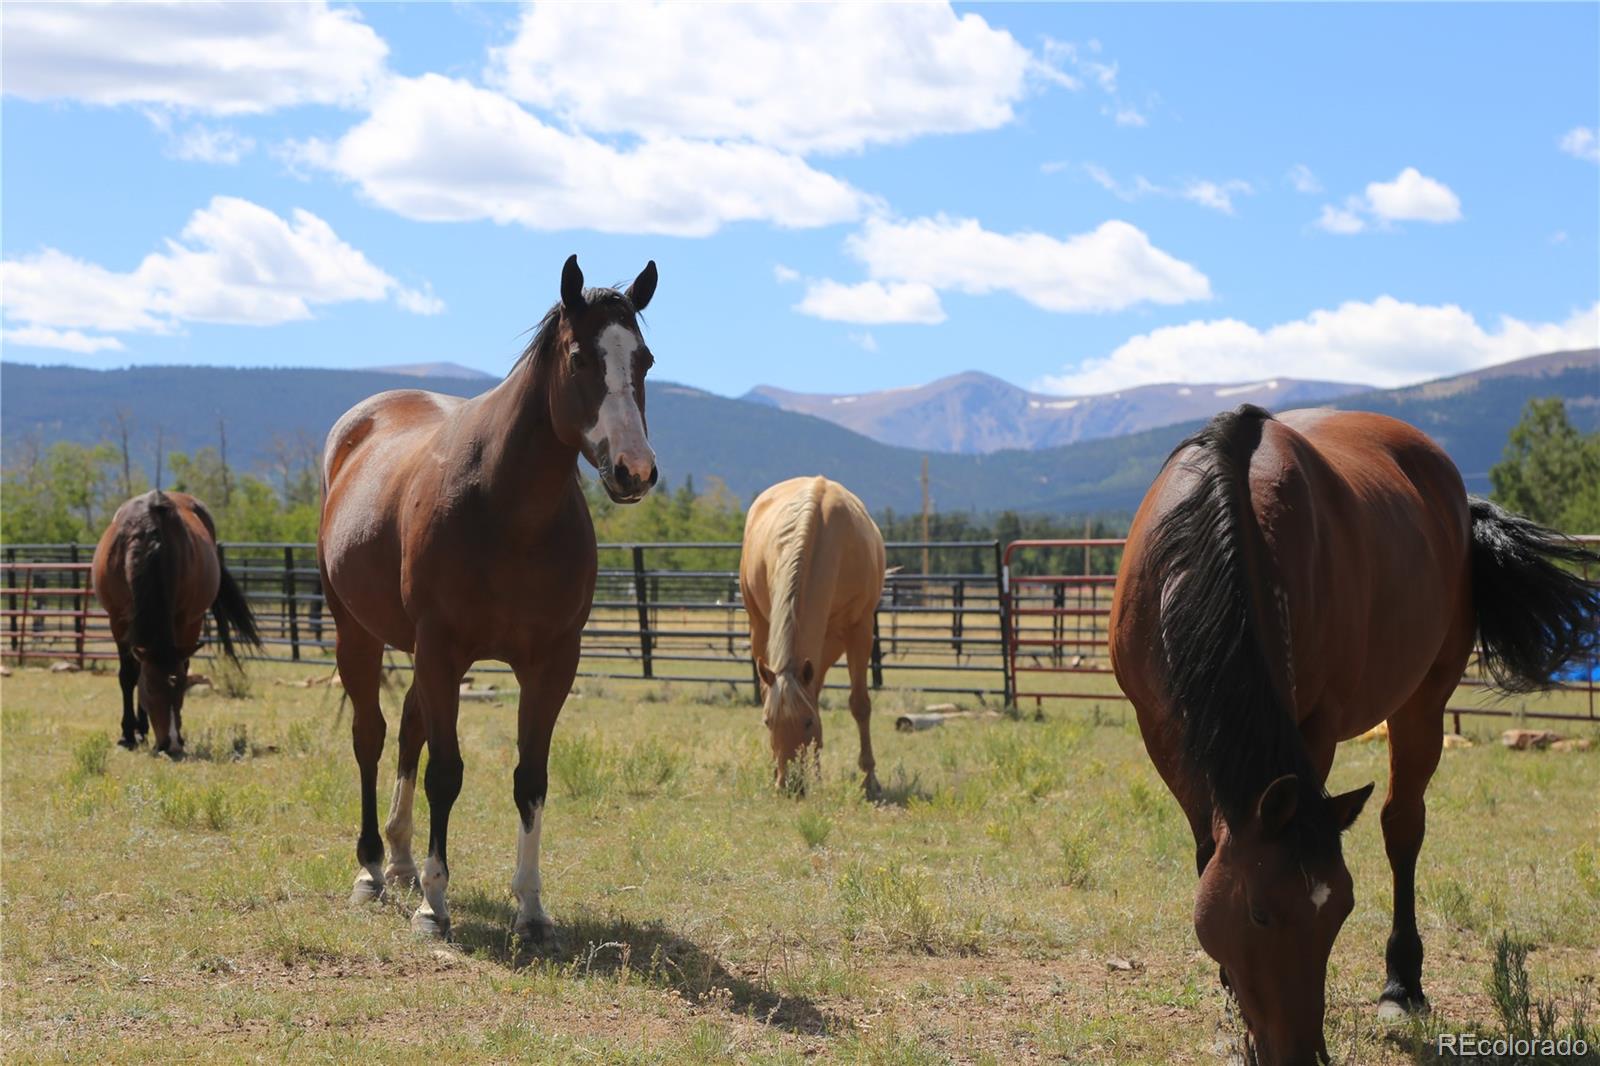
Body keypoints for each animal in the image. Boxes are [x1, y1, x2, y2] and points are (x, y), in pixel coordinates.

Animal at [90, 489, 260, 755]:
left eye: (182, 688)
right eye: (150, 687)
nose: (170, 743)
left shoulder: (183, 620)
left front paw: (143, 730)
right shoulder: (117, 621)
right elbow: (128, 676)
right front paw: (127, 734)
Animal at [321, 257, 659, 941]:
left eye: (645, 360)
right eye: (580, 358)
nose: (634, 471)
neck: (508, 512)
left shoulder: (551, 663)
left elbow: (530, 779)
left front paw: (530, 907)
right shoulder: (442, 650)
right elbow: (446, 773)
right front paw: (435, 905)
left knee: (408, 733)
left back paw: (400, 858)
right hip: (358, 634)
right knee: (371, 737)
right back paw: (371, 868)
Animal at [739, 473, 889, 787]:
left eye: (806, 722)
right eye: (768, 722)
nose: (790, 785)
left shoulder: (860, 630)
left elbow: (859, 704)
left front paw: (869, 779)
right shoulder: (764, 628)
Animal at [1113, 403, 1600, 1056]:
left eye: (1341, 911)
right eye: (1259, 914)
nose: (1298, 1054)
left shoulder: (1314, 728)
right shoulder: (1161, 729)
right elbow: (1205, 848)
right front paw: (1229, 999)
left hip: (1424, 699)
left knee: (1403, 826)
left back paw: (1403, 984)